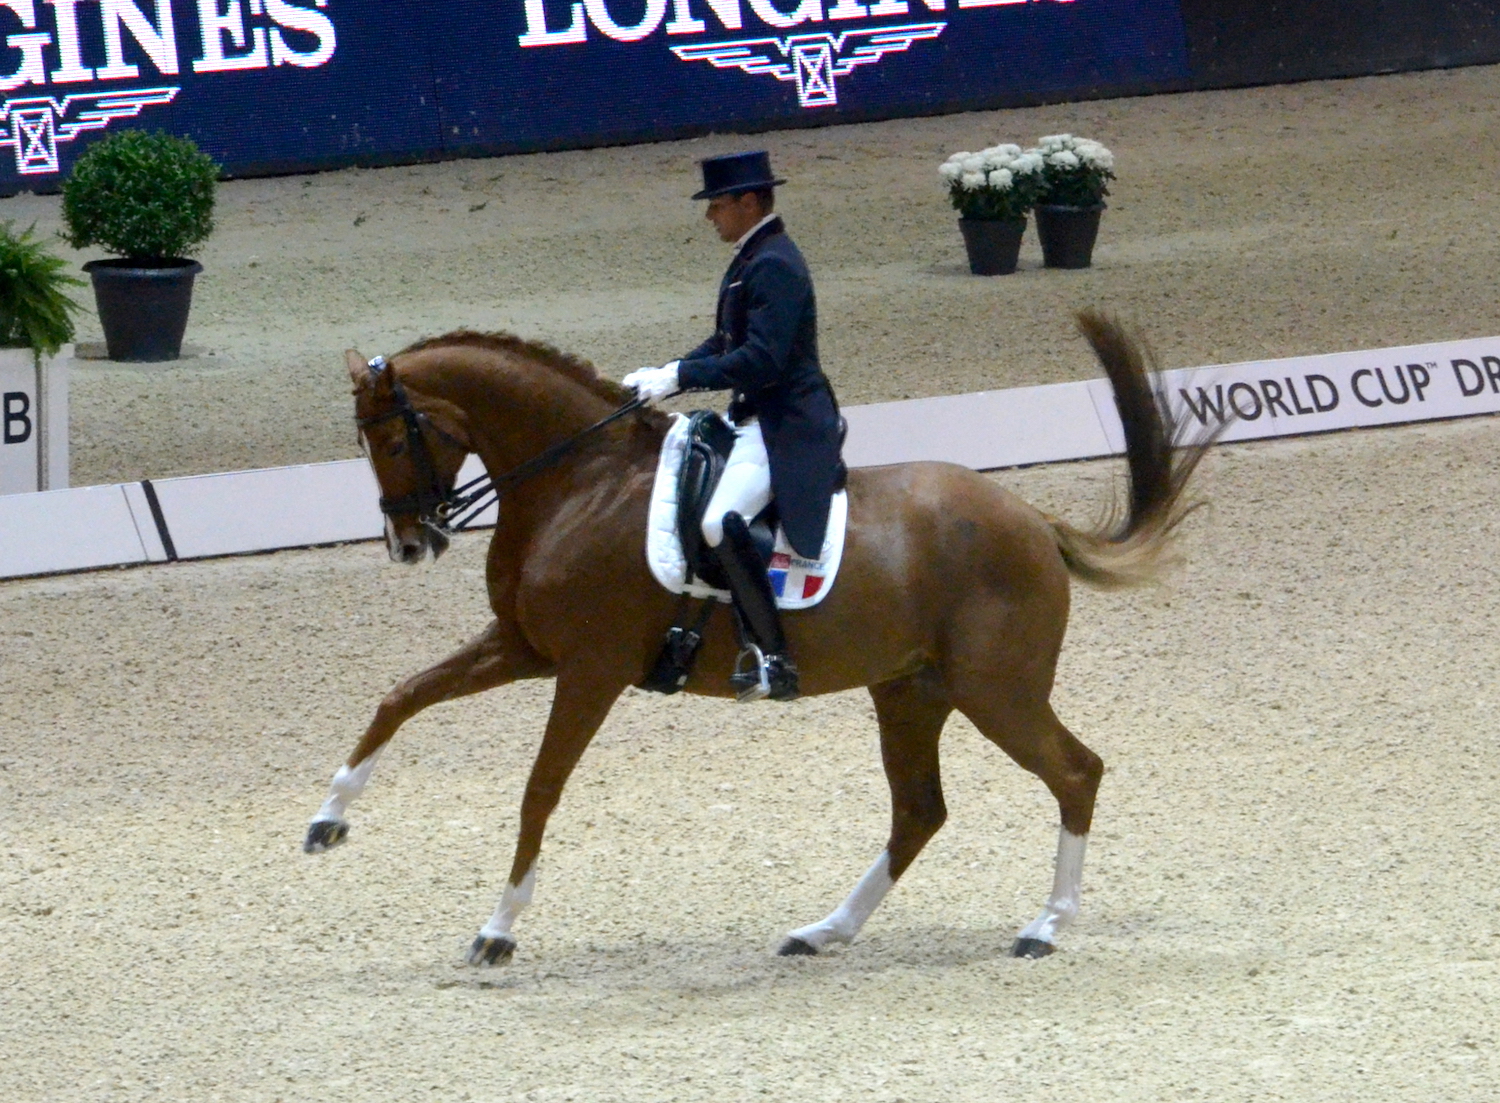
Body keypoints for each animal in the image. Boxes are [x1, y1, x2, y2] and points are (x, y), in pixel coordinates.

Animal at [301, 310, 1206, 966]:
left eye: (393, 438)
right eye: (362, 442)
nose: (408, 543)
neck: (581, 483)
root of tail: (1031, 519)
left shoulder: (587, 670)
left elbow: (538, 790)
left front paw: (499, 929)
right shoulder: (522, 647)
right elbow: (401, 697)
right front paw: (328, 819)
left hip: (997, 691)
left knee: (1075, 773)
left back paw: (1044, 926)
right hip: (909, 691)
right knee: (919, 811)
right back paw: (825, 930)